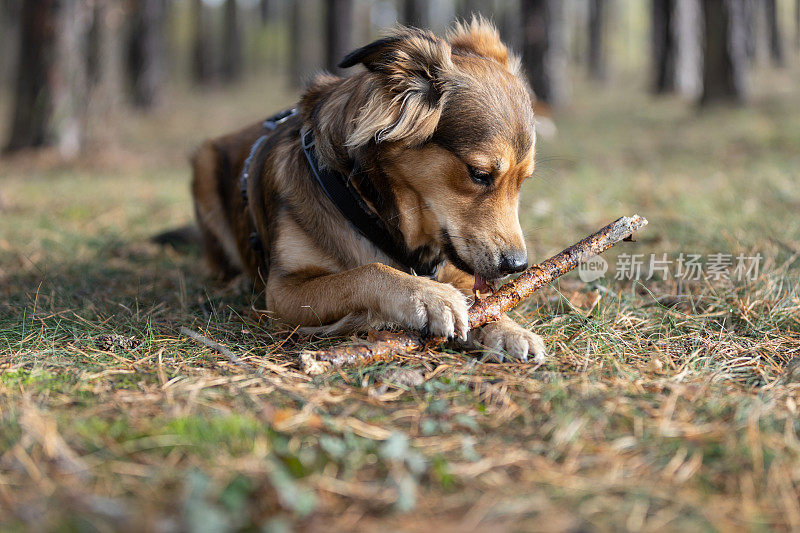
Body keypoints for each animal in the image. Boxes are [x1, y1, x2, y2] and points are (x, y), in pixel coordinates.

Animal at [191, 19, 548, 362]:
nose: (518, 266)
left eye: (523, 181)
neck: (364, 203)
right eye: (479, 174)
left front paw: (508, 329)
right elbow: (366, 271)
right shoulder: (282, 292)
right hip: (204, 164)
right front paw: (428, 296)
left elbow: (483, 302)